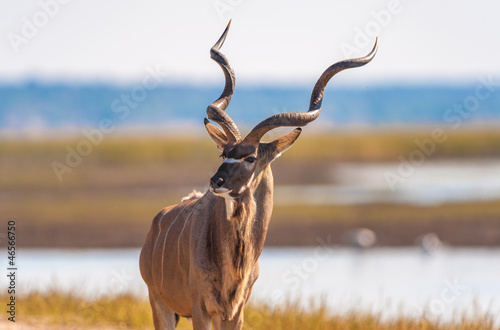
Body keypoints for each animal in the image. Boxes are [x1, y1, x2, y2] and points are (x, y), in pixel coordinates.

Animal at [139, 21, 376, 328]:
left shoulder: (235, 313)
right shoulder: (201, 309)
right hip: (160, 304)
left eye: (251, 157)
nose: (216, 181)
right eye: (223, 153)